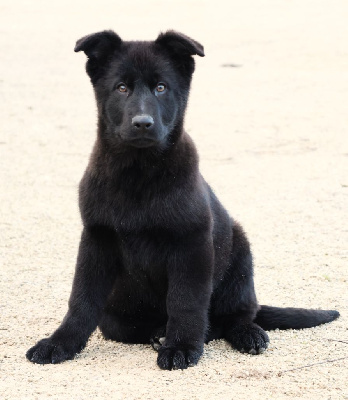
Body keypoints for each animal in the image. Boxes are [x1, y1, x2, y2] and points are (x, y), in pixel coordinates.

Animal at [27, 29, 340, 370]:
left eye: (161, 87)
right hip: (116, 314)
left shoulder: (191, 244)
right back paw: (158, 333)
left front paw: (181, 346)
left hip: (240, 258)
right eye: (121, 88)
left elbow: (185, 301)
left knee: (235, 315)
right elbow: (81, 300)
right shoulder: (96, 239)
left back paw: (245, 334)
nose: (142, 123)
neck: (139, 176)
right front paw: (60, 343)